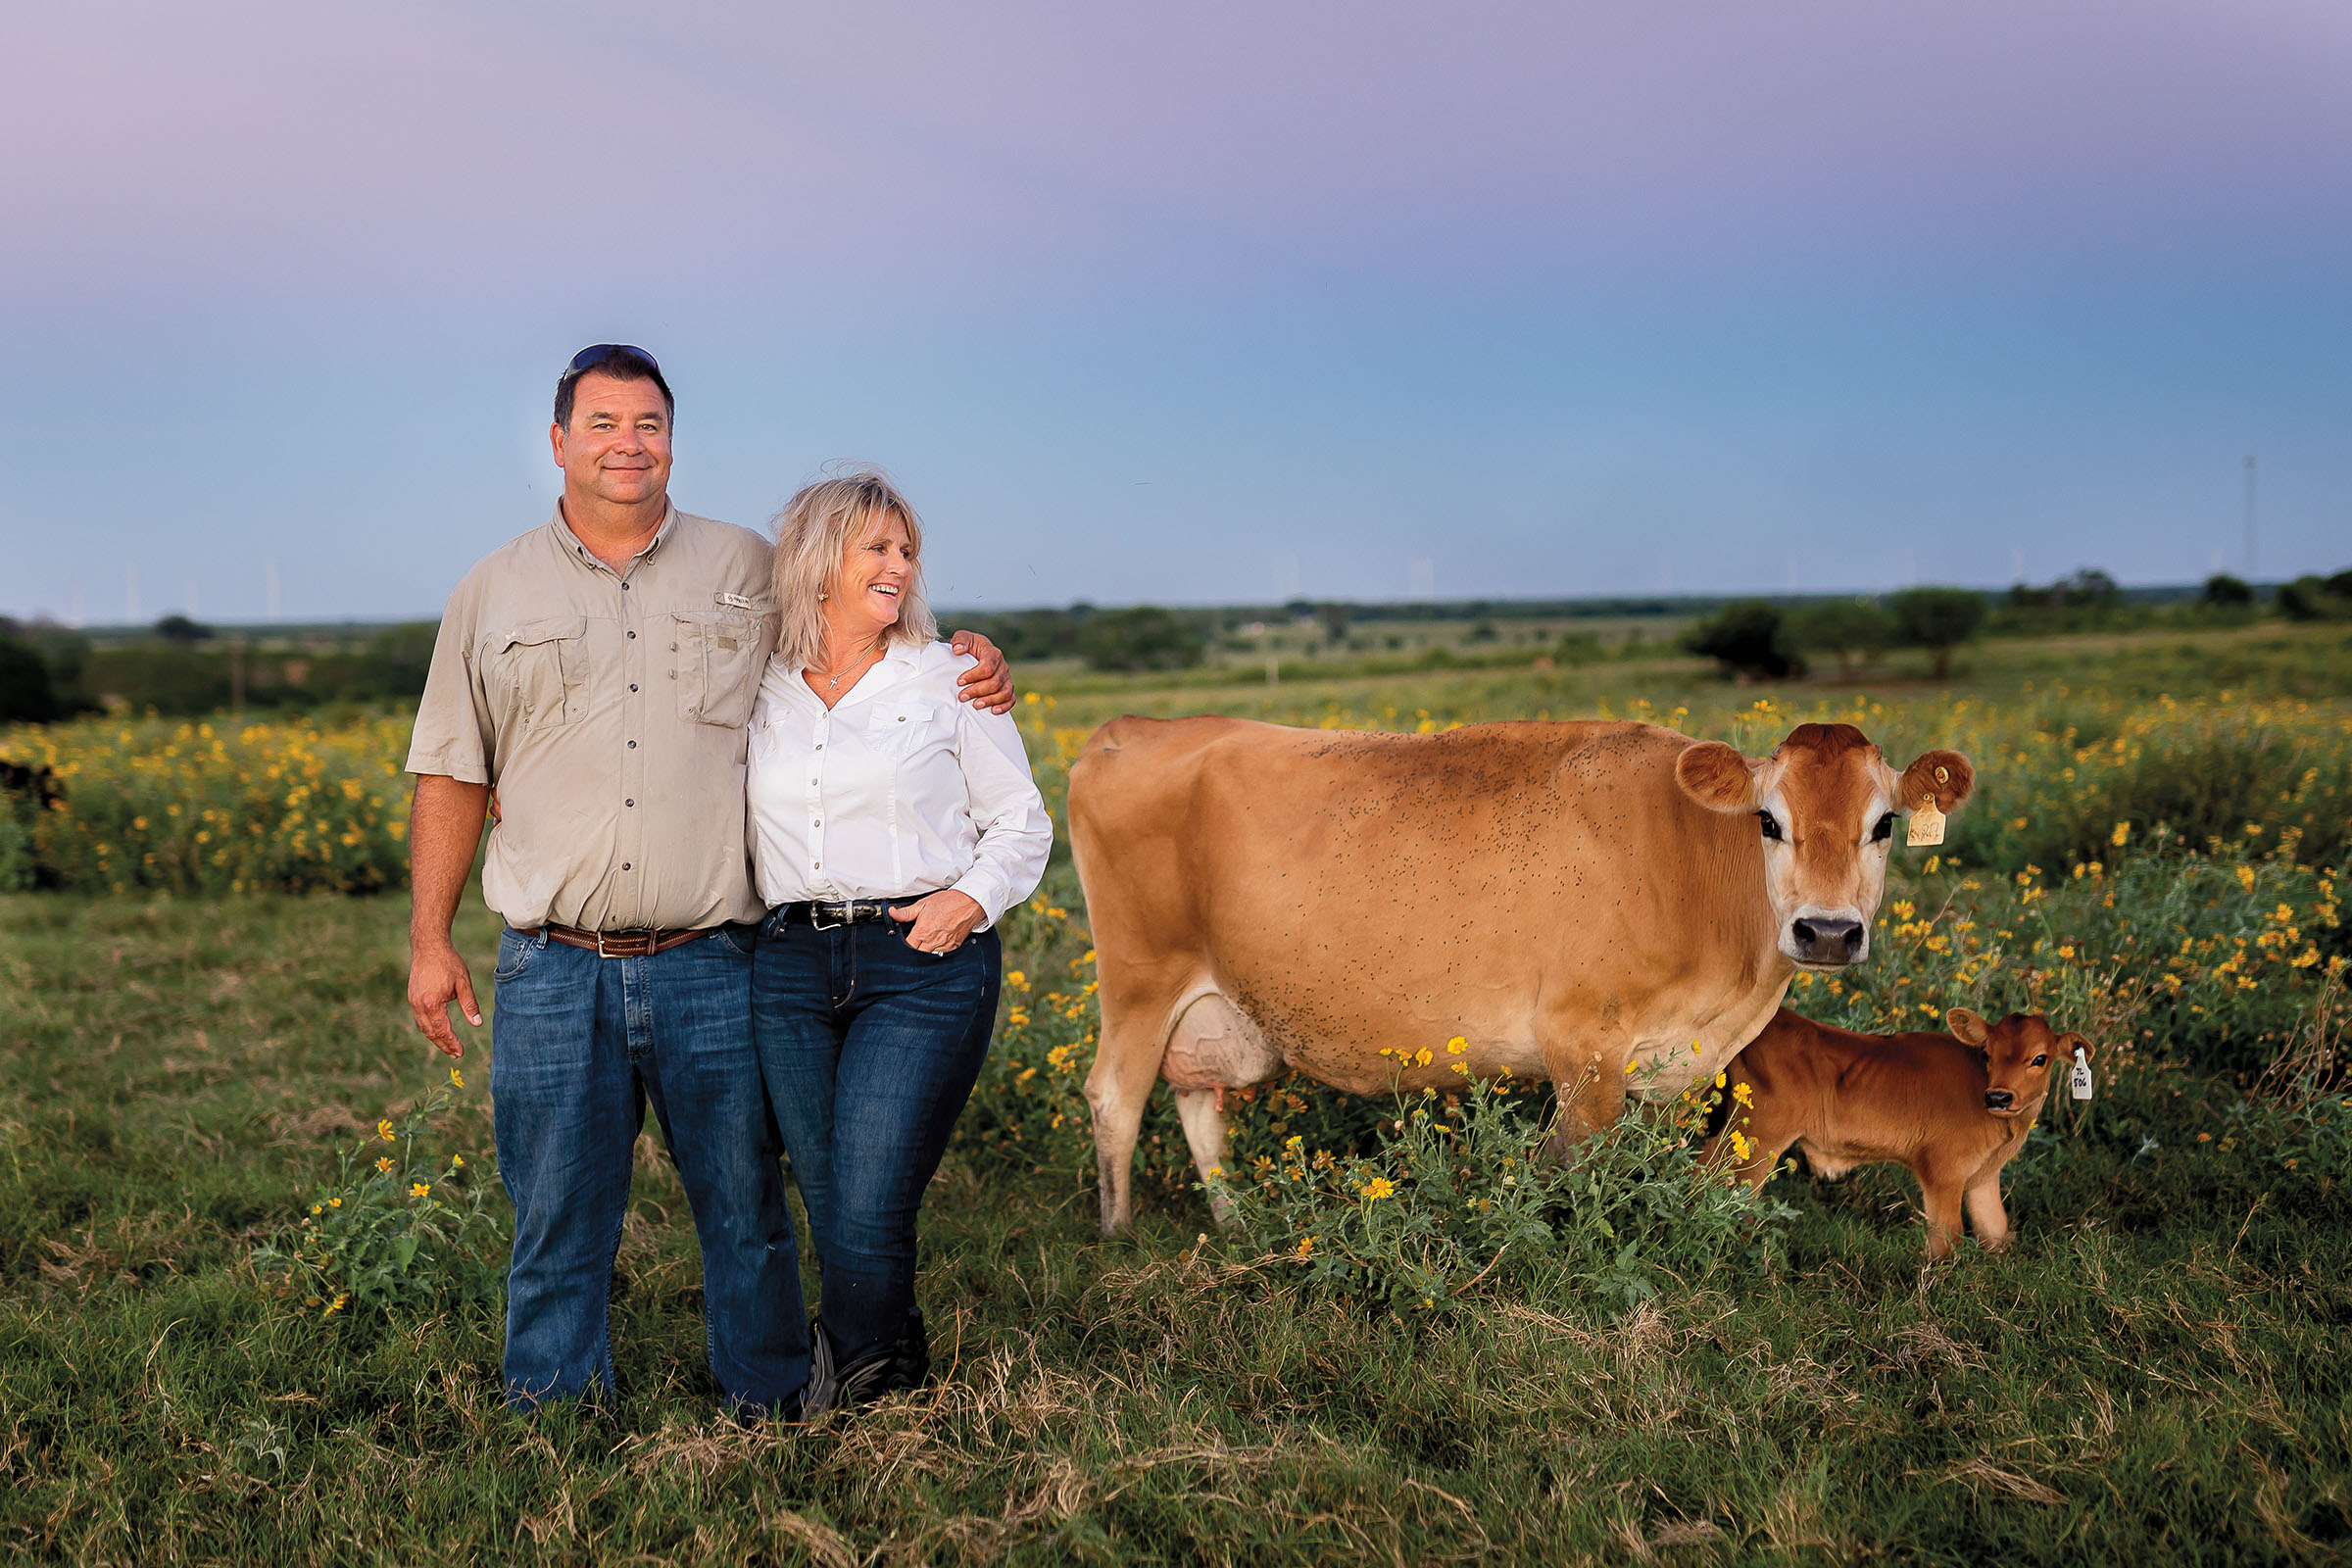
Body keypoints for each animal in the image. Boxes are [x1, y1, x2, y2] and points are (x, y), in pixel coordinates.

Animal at [1067, 714, 1966, 1241]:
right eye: (1769, 821)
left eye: (1884, 825)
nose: (1827, 930)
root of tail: (1133, 727)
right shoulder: (1583, 1044)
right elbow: (1578, 1171)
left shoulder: (1672, 1065)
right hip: (1140, 980)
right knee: (1116, 1096)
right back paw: (1117, 1237)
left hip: (1208, 1006)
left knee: (1198, 1104)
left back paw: (1236, 1224)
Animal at [1702, 1010, 2088, 1259]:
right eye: (1987, 1053)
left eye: (2040, 1058)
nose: (1998, 1097)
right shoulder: (1943, 1172)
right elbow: (1946, 1242)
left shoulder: (1983, 1176)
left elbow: (1996, 1231)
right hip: (1757, 1138)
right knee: (1726, 1191)